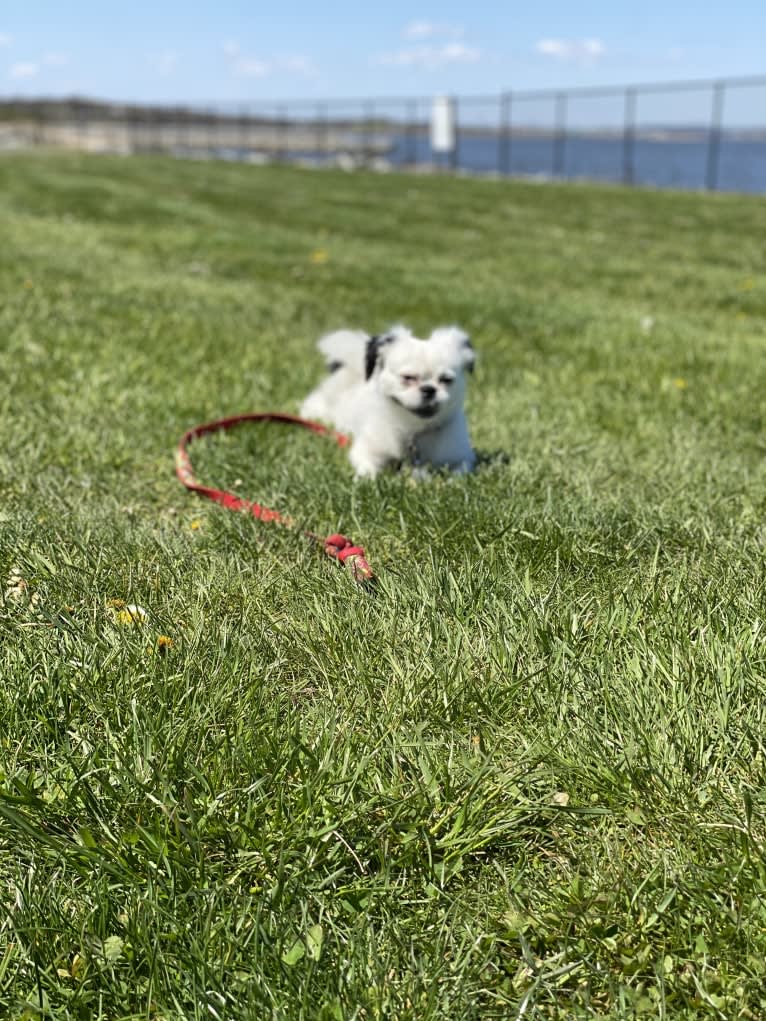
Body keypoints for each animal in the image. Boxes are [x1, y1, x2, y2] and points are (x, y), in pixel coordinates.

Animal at [302, 324, 477, 479]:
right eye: (408, 378)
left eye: (446, 380)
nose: (429, 389)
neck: (413, 430)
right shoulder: (365, 450)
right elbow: (367, 467)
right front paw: (366, 479)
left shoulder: (462, 457)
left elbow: (459, 473)